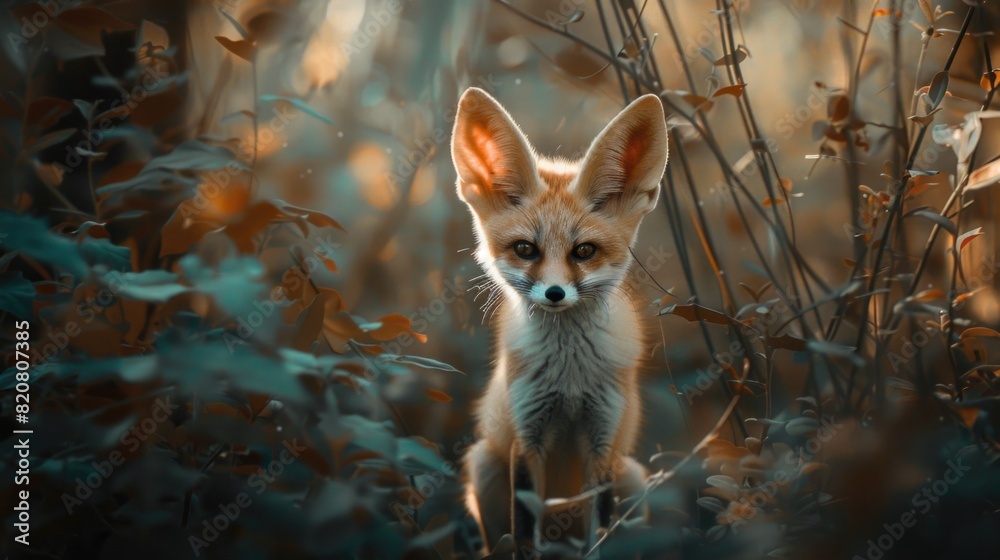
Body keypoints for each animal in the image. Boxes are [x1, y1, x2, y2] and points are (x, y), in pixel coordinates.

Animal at [451, 87, 669, 557]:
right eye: (525, 249)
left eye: (584, 251)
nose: (554, 294)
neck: (570, 378)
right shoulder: (526, 436)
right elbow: (525, 537)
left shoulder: (603, 441)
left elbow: (599, 535)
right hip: (484, 463)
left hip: (633, 479)